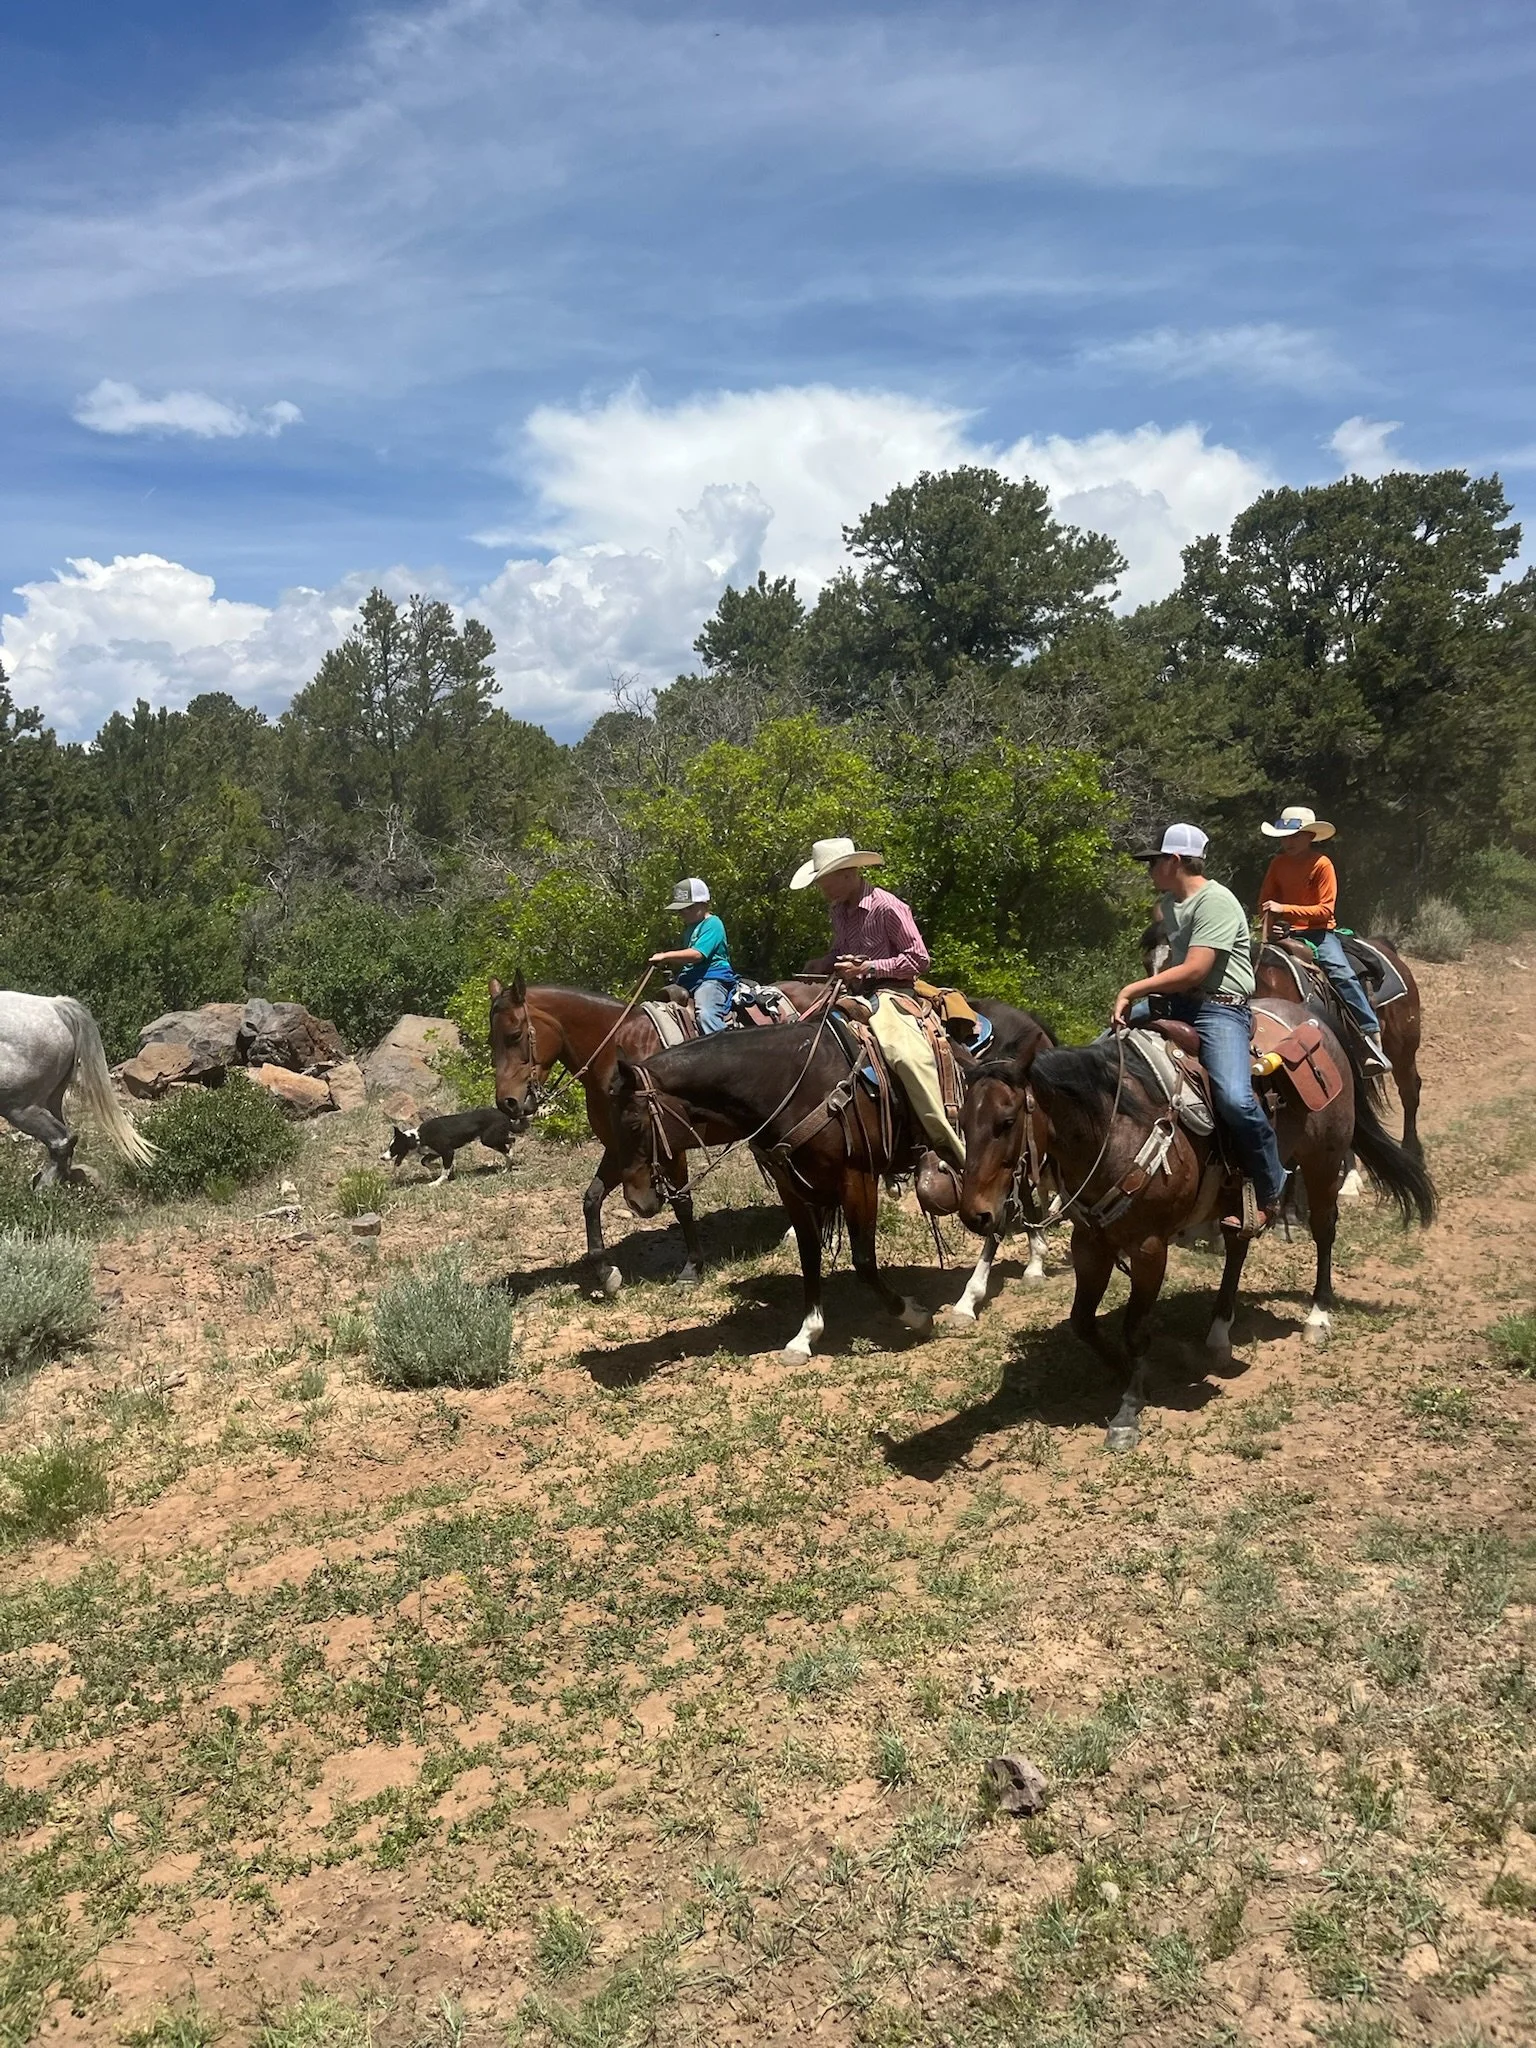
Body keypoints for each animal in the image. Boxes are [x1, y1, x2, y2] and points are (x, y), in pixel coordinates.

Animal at [488, 971, 835, 1297]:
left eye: (514, 1035)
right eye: (491, 1040)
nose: (507, 1103)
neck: (617, 1056)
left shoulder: (669, 1147)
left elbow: (682, 1203)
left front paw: (692, 1267)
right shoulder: (621, 1148)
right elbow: (592, 1198)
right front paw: (605, 1271)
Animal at [606, 999, 1054, 1364]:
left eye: (633, 1124)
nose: (637, 1201)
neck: (794, 1084)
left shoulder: (857, 1180)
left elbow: (864, 1261)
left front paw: (914, 1315)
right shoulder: (791, 1186)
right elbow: (809, 1256)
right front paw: (805, 1335)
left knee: (1001, 1213)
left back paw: (976, 1294)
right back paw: (1027, 1266)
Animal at [958, 1002, 1436, 1453]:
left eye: (1005, 1122)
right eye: (961, 1122)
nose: (975, 1215)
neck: (1114, 1125)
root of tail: (1312, 1019)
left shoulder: (1149, 1247)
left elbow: (1135, 1329)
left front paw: (1129, 1408)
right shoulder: (1090, 1241)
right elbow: (1082, 1322)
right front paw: (1120, 1368)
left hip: (1324, 1160)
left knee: (1324, 1231)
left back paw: (1318, 1316)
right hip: (1238, 1194)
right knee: (1238, 1244)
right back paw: (1219, 1332)